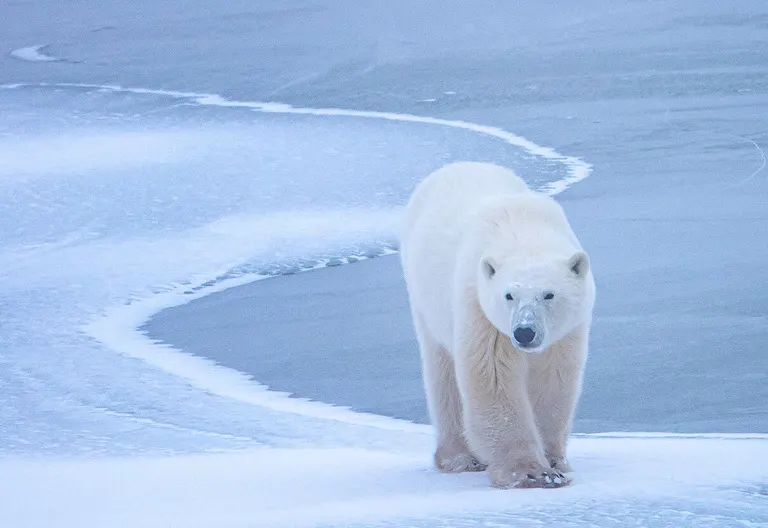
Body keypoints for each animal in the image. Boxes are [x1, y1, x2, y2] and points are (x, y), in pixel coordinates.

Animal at [399, 162, 595, 489]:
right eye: (509, 295)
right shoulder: (479, 304)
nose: (524, 332)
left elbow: (553, 378)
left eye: (548, 294)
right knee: (442, 371)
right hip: (425, 298)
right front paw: (533, 472)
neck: (524, 230)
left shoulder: (566, 331)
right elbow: (492, 377)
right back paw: (459, 457)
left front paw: (555, 461)